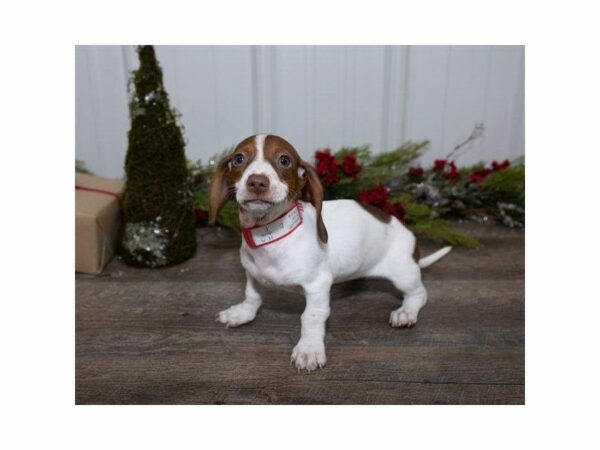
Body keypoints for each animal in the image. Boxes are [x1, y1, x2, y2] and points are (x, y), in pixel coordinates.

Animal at [210, 134, 450, 372]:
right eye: (239, 159)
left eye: (285, 160)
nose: (257, 182)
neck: (270, 236)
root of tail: (410, 239)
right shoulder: (252, 274)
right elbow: (252, 296)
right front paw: (242, 313)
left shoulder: (318, 286)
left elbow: (311, 317)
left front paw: (309, 349)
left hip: (404, 274)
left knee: (419, 294)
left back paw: (406, 312)